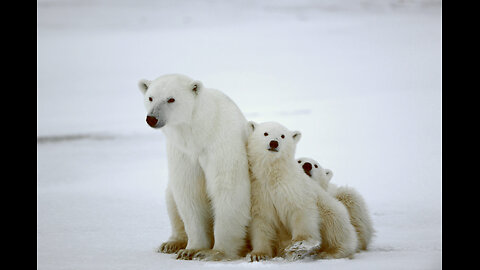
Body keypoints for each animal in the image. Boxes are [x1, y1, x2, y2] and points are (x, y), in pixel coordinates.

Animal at [138, 74, 251, 262]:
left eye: (171, 99)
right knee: (171, 198)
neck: (200, 133)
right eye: (150, 97)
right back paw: (171, 243)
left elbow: (228, 189)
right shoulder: (183, 152)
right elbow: (189, 192)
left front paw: (215, 252)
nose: (152, 118)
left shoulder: (222, 144)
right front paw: (191, 250)